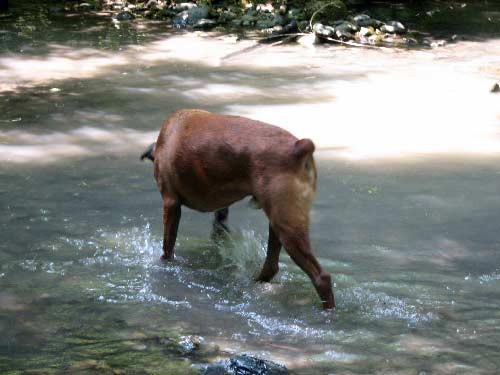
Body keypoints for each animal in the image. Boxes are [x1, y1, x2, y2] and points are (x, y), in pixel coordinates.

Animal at [142, 110, 336, 310]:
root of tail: (298, 147)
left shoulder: (170, 204)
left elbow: (167, 247)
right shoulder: (221, 210)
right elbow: (218, 230)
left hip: (288, 229)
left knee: (321, 277)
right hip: (278, 223)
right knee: (271, 267)